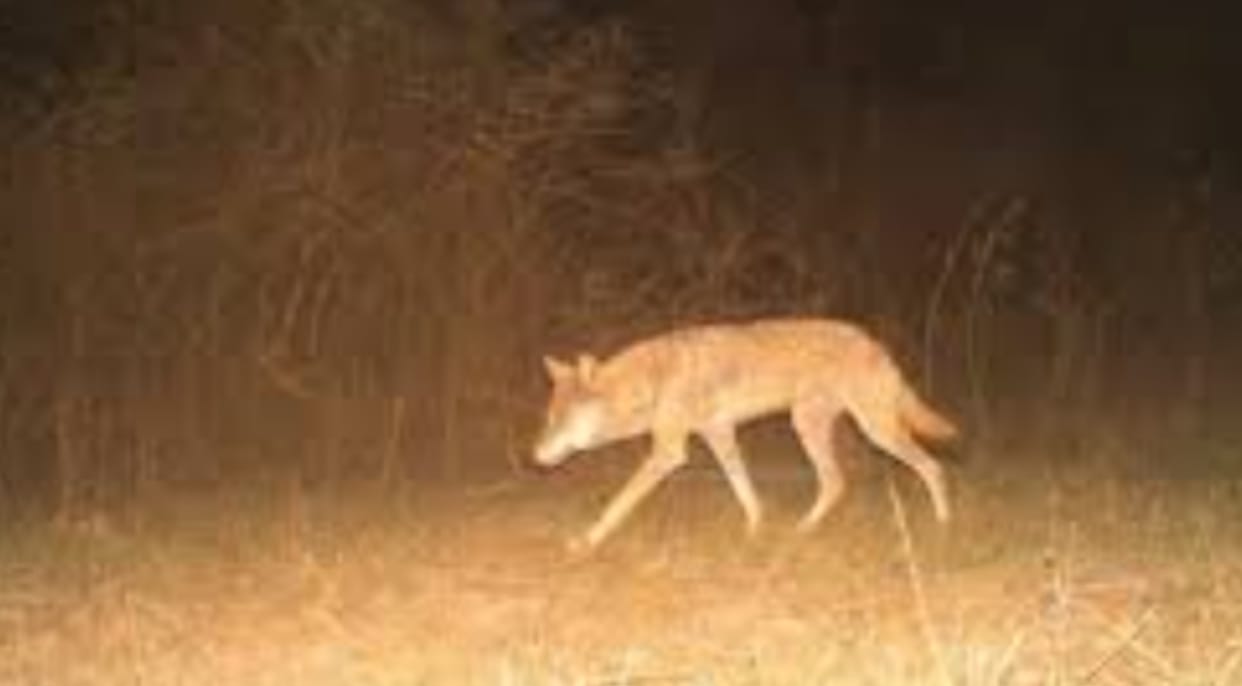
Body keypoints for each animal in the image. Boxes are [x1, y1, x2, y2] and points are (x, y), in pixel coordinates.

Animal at [533, 317, 956, 553]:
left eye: (560, 421)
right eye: (548, 418)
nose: (533, 456)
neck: (652, 382)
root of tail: (875, 342)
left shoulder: (669, 453)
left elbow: (618, 503)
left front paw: (587, 541)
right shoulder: (720, 435)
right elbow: (745, 492)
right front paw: (754, 530)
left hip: (873, 430)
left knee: (931, 467)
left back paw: (943, 525)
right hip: (809, 425)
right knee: (836, 483)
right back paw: (803, 531)